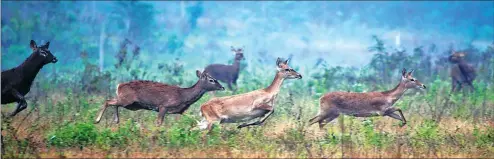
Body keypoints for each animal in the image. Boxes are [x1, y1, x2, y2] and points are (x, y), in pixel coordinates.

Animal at [94, 70, 224, 126]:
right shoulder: (163, 106)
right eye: (211, 80)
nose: (222, 87)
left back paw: (116, 120)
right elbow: (158, 123)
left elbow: (194, 119)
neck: (183, 97)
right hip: (127, 99)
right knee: (108, 101)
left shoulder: (180, 111)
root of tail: (119, 85)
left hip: (130, 104)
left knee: (113, 102)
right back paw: (97, 120)